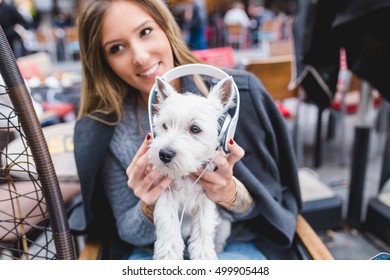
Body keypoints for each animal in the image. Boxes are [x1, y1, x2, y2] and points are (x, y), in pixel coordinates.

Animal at [149, 75, 235, 260]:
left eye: (195, 129)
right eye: (165, 125)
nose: (164, 154)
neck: (185, 173)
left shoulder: (205, 200)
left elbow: (203, 231)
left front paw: (204, 257)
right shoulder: (166, 197)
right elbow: (168, 229)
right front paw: (167, 258)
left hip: (225, 224)